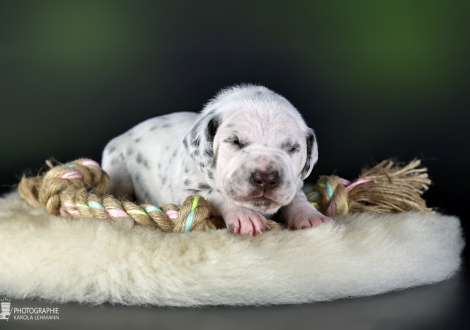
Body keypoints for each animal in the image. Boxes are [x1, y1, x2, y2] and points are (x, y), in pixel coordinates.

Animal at [101, 84, 332, 235]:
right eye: (235, 141)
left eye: (293, 148)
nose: (266, 177)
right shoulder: (186, 190)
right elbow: (216, 194)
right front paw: (245, 216)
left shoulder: (293, 184)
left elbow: (296, 197)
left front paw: (310, 216)